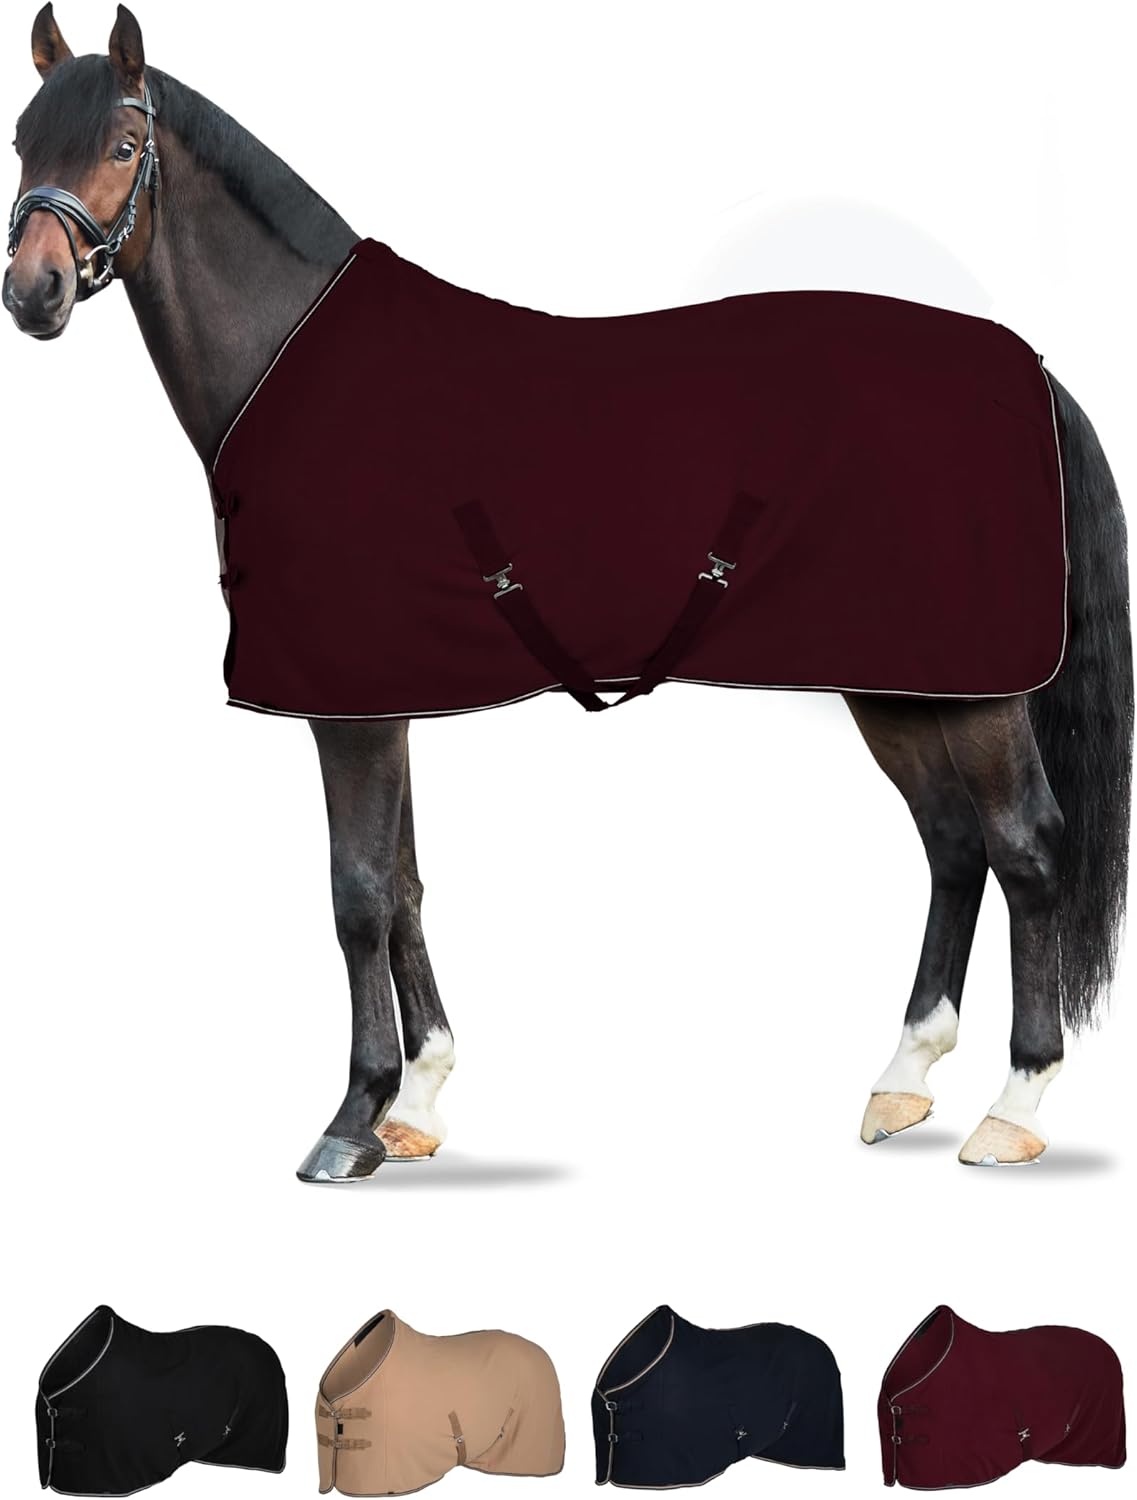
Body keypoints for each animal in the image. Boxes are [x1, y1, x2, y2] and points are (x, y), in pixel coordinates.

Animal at [5, 4, 1132, 1181]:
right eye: (22, 143)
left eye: (120, 147)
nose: (32, 293)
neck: (299, 371)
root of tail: (1029, 373)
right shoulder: (382, 697)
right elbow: (406, 883)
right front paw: (419, 1100)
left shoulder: (344, 708)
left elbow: (357, 893)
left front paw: (352, 1119)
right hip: (899, 684)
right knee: (954, 847)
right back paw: (903, 1080)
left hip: (978, 694)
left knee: (1027, 849)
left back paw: (1015, 1106)